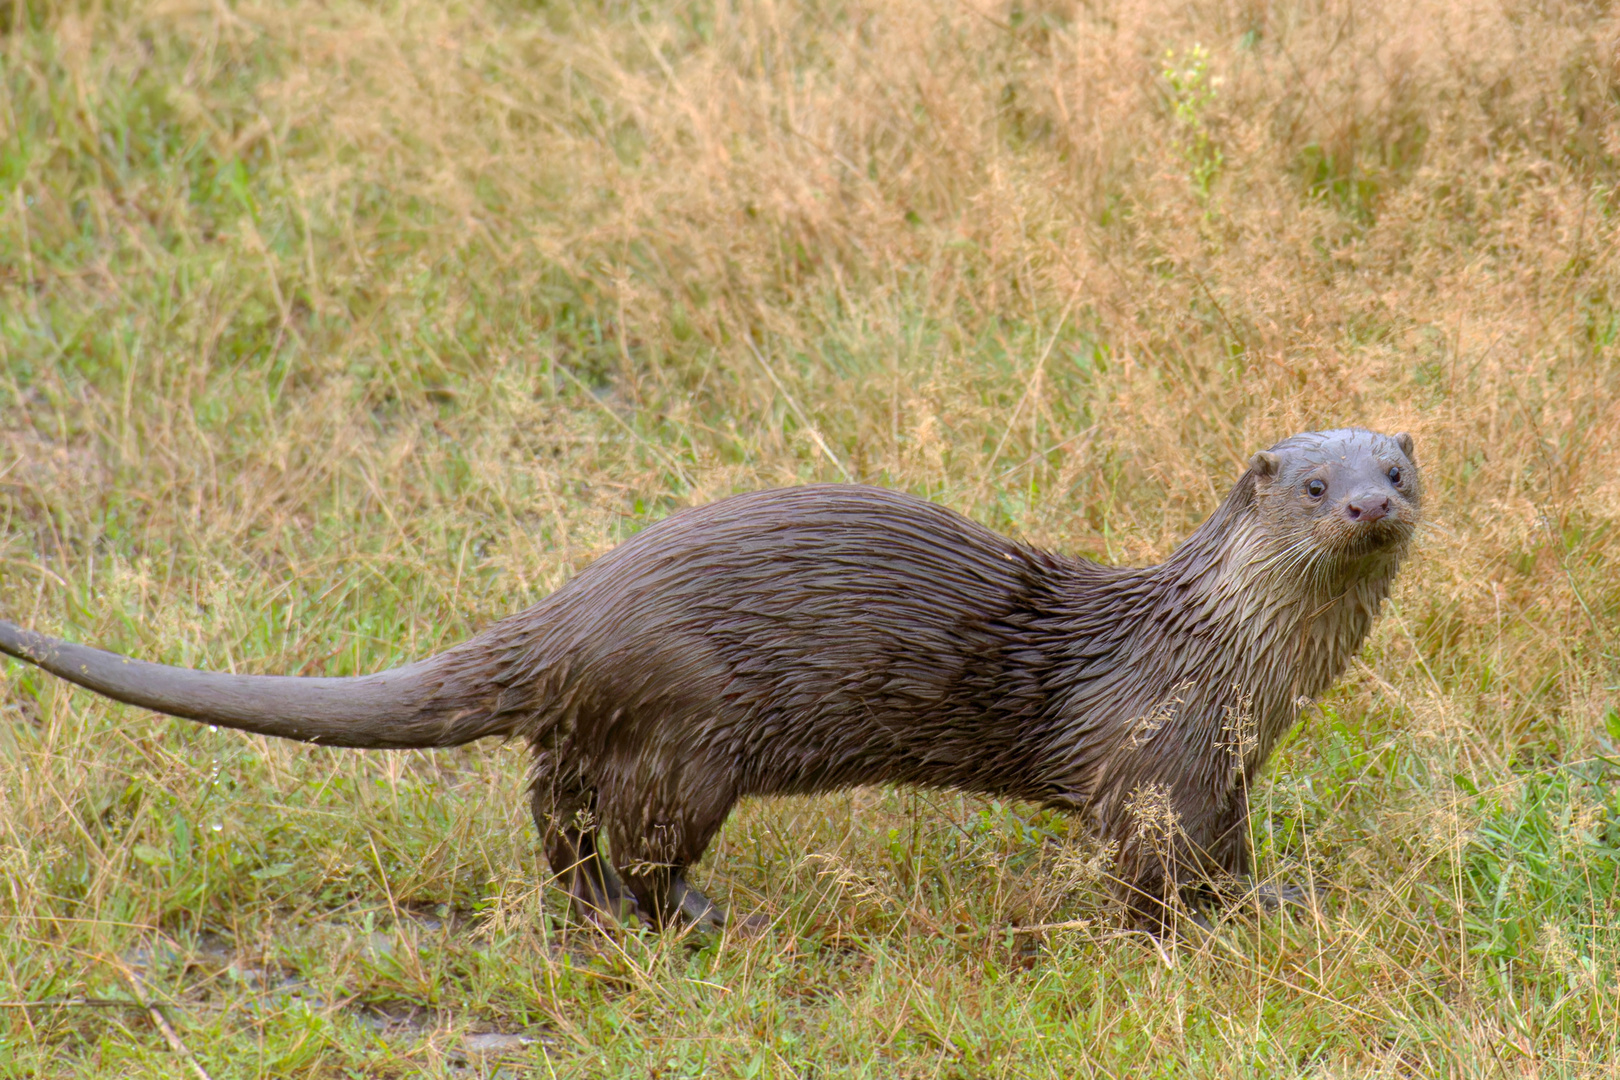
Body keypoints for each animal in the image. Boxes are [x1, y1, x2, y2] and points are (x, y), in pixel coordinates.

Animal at [0, 427, 1419, 932]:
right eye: (1311, 484)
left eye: (1395, 469)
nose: (1367, 505)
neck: (1230, 661)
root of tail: (573, 611)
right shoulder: (1157, 763)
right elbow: (1161, 880)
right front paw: (1217, 931)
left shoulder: (1223, 768)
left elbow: (1225, 856)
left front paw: (1273, 898)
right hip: (688, 733)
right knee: (633, 839)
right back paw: (694, 916)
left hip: (614, 733)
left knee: (555, 813)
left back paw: (594, 914)